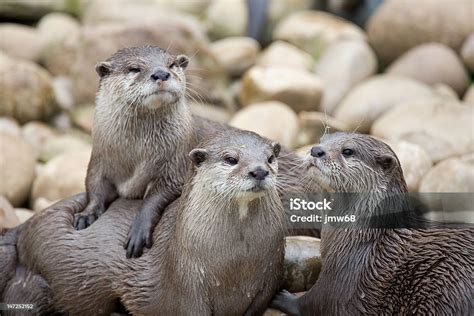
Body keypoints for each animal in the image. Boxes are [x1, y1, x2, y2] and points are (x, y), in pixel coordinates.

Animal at [4, 130, 286, 314]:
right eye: (230, 159)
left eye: (270, 158)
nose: (259, 170)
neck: (235, 262)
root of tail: (26, 227)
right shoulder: (187, 284)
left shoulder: (268, 279)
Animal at [75, 44, 318, 258]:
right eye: (134, 68)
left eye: (172, 64)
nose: (161, 73)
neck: (136, 154)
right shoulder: (100, 160)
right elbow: (94, 187)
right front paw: (86, 214)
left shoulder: (176, 164)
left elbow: (155, 197)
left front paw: (138, 231)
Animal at [270, 132, 474, 314]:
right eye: (322, 139)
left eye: (348, 151)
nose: (316, 150)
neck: (364, 238)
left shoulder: (346, 274)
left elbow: (315, 303)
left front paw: (283, 297)